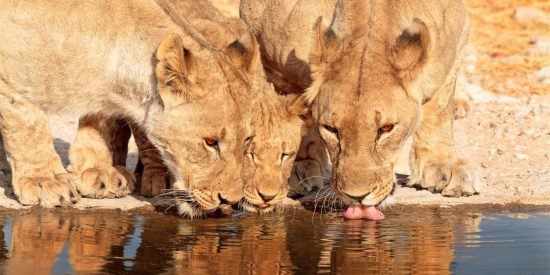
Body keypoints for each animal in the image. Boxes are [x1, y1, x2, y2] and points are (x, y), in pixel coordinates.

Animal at [0, 0, 258, 218]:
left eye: (247, 140)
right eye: (210, 142)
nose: (230, 201)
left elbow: (103, 121)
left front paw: (101, 171)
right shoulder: (9, 76)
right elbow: (28, 125)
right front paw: (44, 181)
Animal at [242, 0, 484, 220]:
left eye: (386, 128)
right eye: (331, 129)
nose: (357, 197)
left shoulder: (456, 36)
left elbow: (438, 109)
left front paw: (444, 167)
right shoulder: (272, 58)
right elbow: (298, 121)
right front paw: (297, 168)